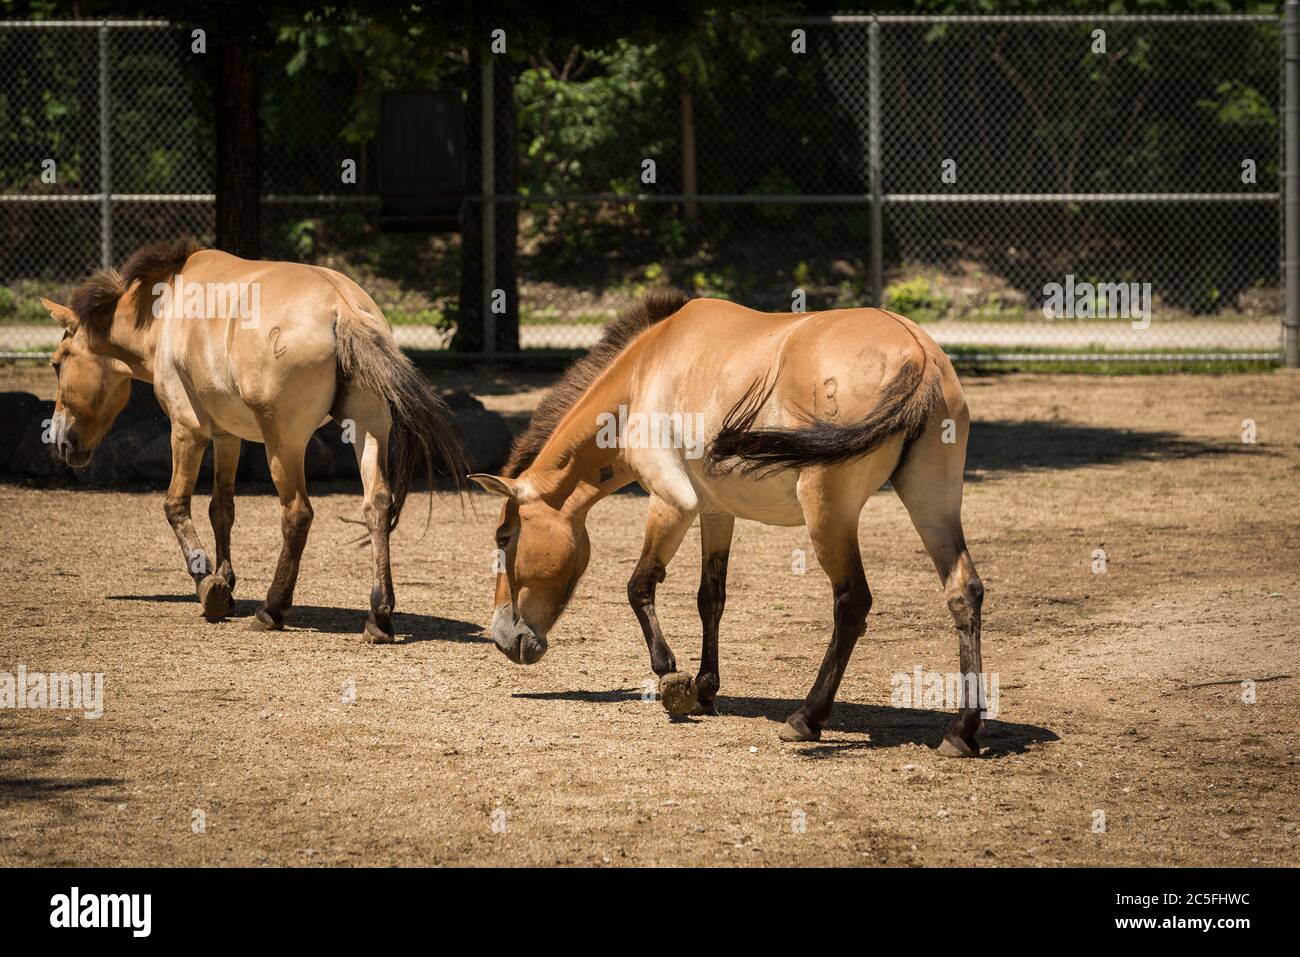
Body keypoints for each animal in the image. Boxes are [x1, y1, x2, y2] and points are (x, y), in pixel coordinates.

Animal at [41, 239, 467, 642]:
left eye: (57, 363)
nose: (59, 441)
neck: (164, 308)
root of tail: (342, 307)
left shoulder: (188, 430)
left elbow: (176, 505)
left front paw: (208, 586)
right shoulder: (227, 435)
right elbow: (222, 509)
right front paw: (226, 583)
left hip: (284, 445)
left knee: (297, 514)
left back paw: (272, 609)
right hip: (368, 428)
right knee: (376, 505)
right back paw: (378, 617)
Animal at [467, 289, 982, 754]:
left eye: (504, 537)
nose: (502, 637)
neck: (644, 373)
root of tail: (917, 353)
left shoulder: (672, 502)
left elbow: (640, 585)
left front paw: (672, 678)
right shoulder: (716, 513)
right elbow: (710, 598)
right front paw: (706, 687)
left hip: (828, 511)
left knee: (852, 601)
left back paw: (806, 718)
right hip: (932, 503)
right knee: (964, 592)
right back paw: (962, 732)